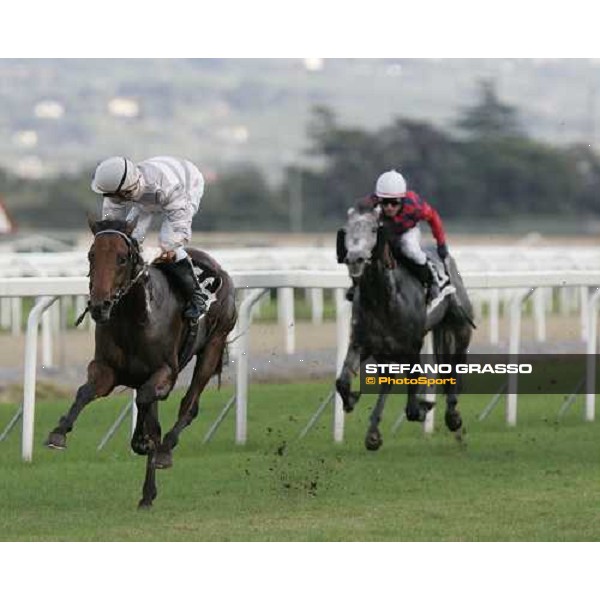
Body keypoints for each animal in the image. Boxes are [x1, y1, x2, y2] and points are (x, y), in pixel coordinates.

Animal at [45, 218, 237, 508]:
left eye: (122, 258)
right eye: (91, 255)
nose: (99, 306)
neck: (135, 316)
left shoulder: (165, 373)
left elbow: (146, 401)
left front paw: (144, 442)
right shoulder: (106, 369)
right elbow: (85, 393)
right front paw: (58, 433)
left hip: (213, 346)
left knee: (188, 406)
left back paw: (164, 451)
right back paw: (148, 493)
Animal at [336, 206, 476, 450]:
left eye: (373, 229)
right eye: (348, 229)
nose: (355, 259)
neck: (382, 298)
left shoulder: (412, 348)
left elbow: (412, 404)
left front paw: (423, 407)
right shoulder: (363, 343)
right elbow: (342, 380)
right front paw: (352, 399)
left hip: (459, 329)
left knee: (453, 368)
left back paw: (453, 416)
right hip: (388, 352)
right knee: (389, 380)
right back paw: (373, 432)